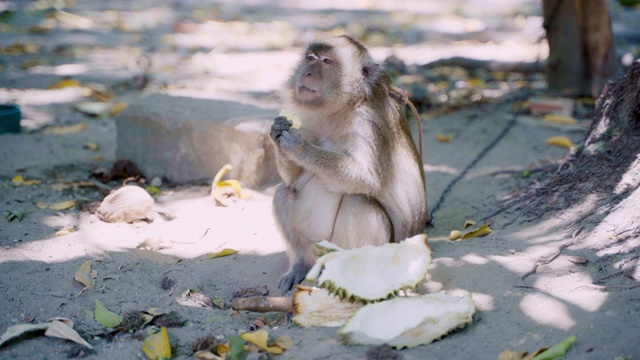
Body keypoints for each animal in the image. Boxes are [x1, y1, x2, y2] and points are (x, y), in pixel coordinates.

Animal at [270, 35, 430, 292]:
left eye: (327, 61)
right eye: (311, 58)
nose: (307, 73)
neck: (343, 108)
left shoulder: (368, 123)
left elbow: (365, 178)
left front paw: (299, 147)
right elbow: (293, 180)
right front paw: (278, 132)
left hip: (383, 253)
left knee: (358, 201)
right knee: (282, 193)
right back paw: (303, 266)